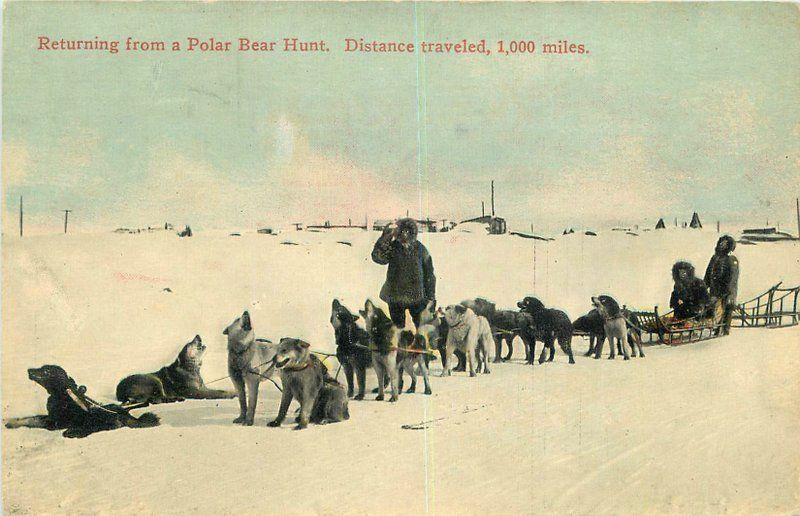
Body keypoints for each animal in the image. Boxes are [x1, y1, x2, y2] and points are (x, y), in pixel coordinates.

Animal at [5, 364, 159, 438]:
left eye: (46, 371)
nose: (29, 370)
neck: (61, 395)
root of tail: (126, 415)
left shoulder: (54, 423)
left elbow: (33, 420)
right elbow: (30, 417)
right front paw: (12, 422)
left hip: (97, 418)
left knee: (99, 426)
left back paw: (75, 431)